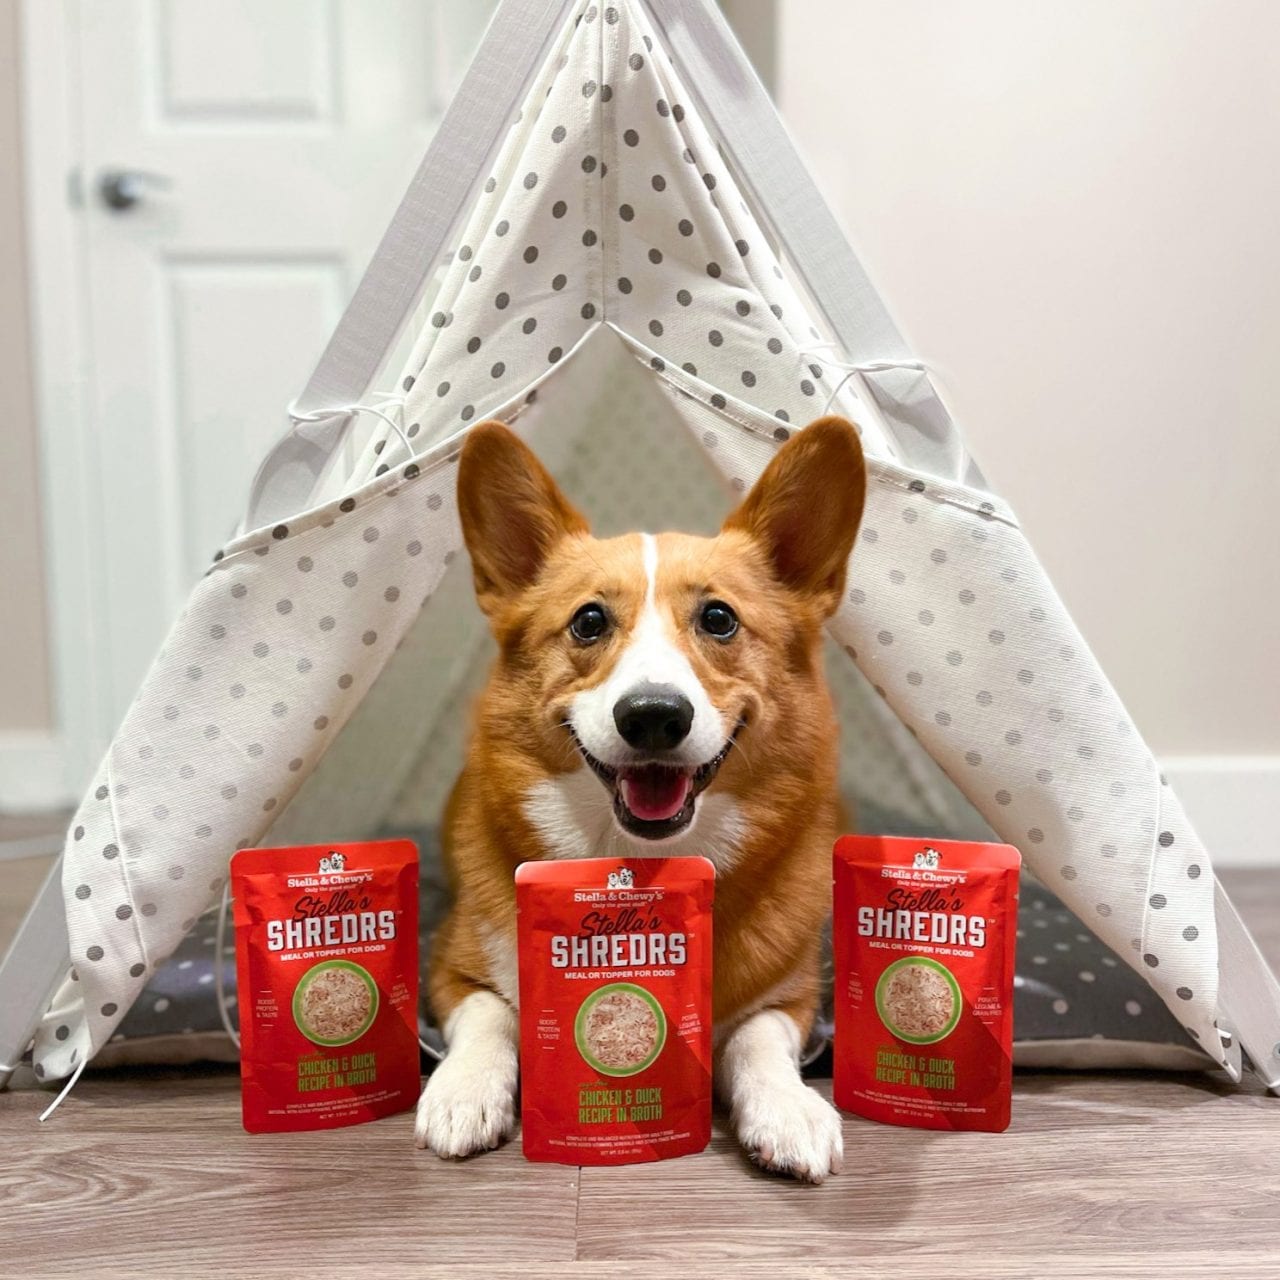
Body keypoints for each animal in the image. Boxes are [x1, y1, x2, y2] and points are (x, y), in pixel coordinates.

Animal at [414, 417, 865, 1177]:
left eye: (719, 619)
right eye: (590, 621)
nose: (654, 716)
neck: (631, 862)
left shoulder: (797, 999)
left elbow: (758, 1039)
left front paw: (791, 1111)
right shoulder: (451, 967)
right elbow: (491, 1013)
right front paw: (463, 1091)